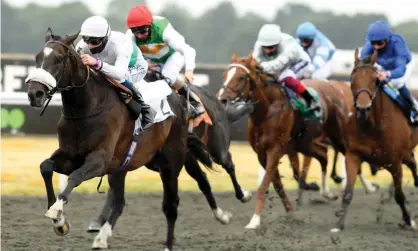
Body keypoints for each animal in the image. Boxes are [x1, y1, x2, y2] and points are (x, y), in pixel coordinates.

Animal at [24, 28, 222, 250]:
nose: (35, 93)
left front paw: (56, 210)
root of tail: (180, 104)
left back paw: (170, 243)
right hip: (131, 165)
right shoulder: (71, 155)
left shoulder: (100, 160)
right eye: (37, 57)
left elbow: (75, 176)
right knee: (119, 202)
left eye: (58, 59)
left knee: (171, 206)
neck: (86, 109)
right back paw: (101, 237)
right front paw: (60, 223)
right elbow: (45, 167)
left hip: (170, 163)